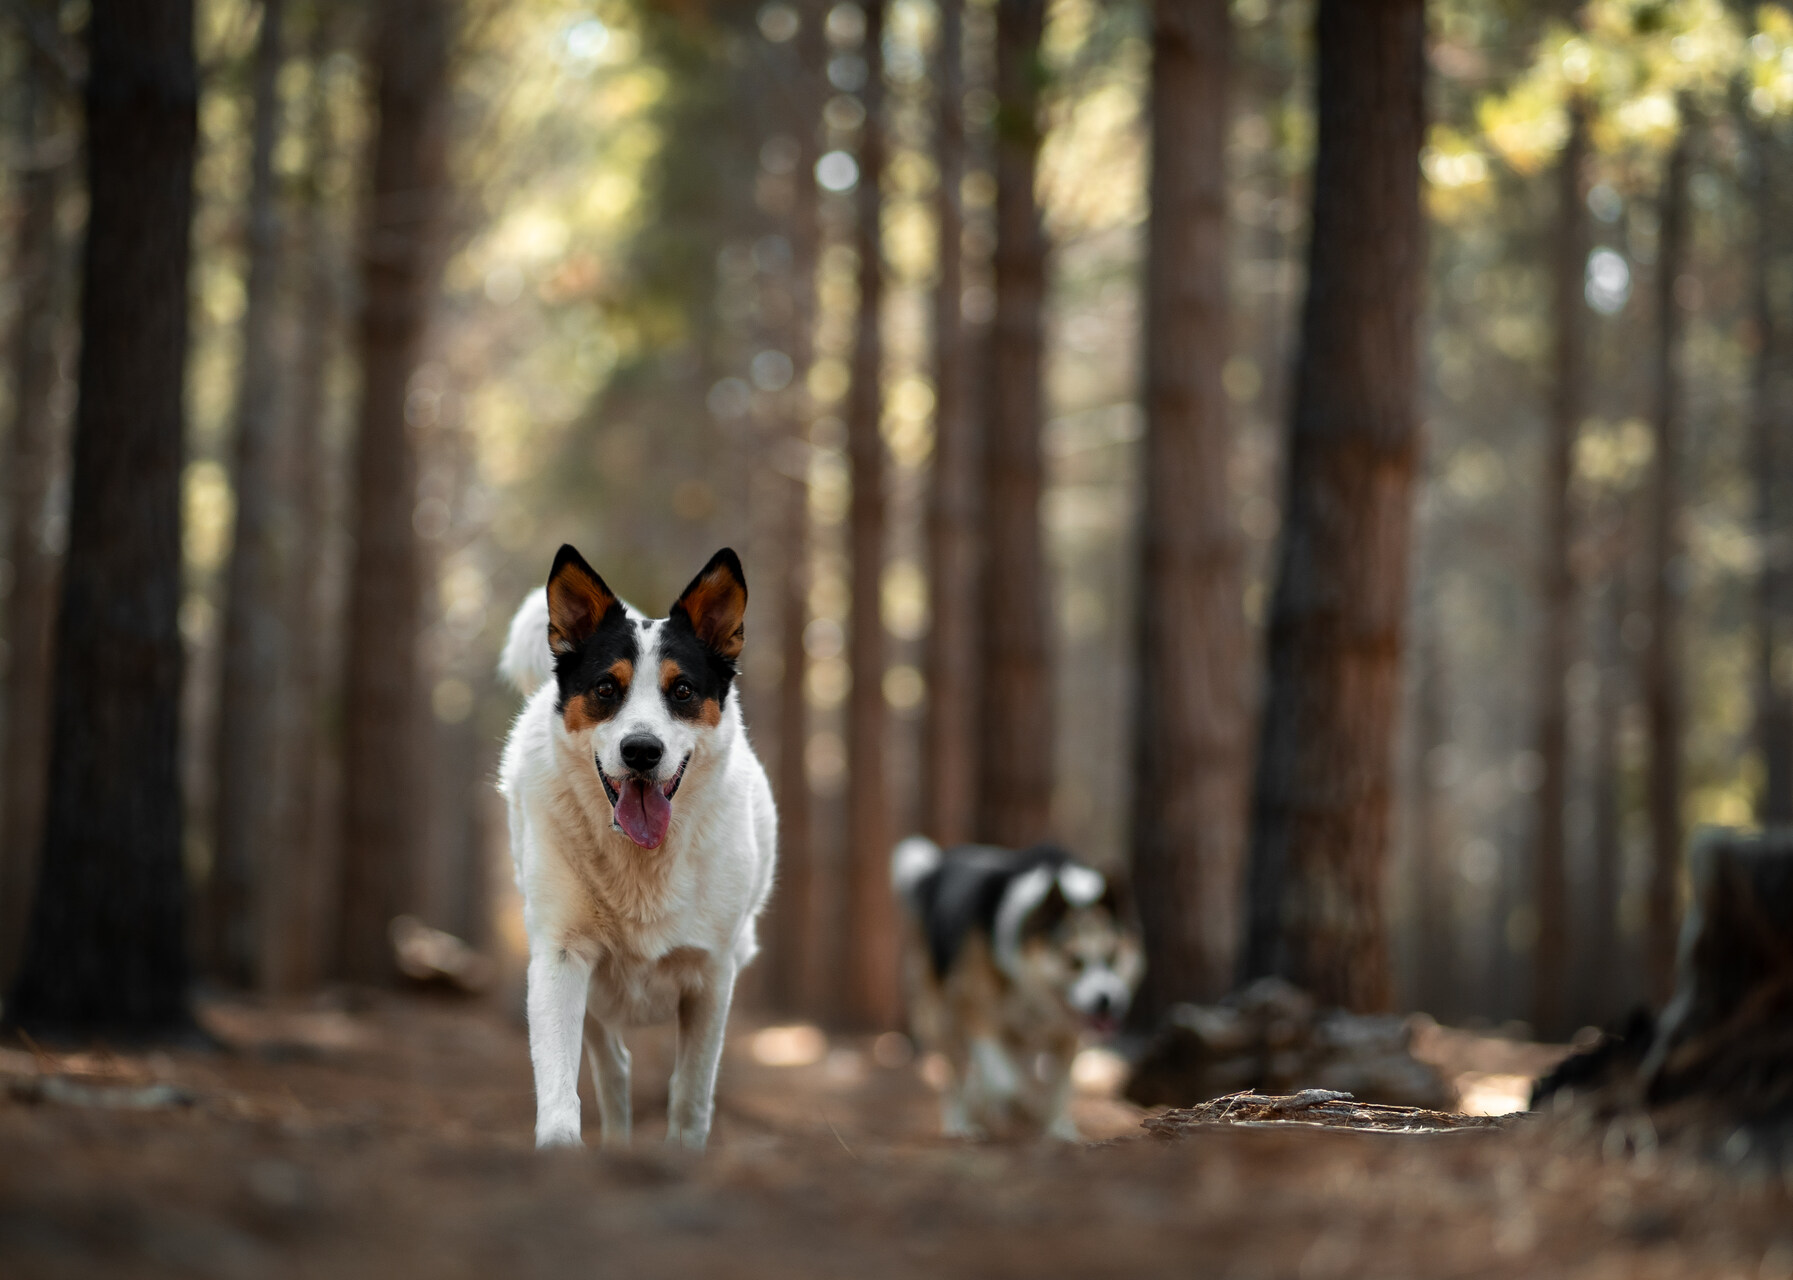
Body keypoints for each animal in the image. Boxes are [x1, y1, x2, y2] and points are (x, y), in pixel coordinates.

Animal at [494, 541, 774, 1147]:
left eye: (683, 691)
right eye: (606, 688)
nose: (641, 750)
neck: (642, 861)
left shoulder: (712, 976)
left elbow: (690, 1099)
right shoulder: (561, 956)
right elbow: (560, 1096)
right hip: (595, 990)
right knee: (614, 1068)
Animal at [889, 838, 1140, 1140]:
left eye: (1113, 956)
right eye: (1073, 960)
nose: (1107, 1000)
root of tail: (934, 869)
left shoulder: (1066, 1033)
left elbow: (1059, 1087)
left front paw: (1059, 1131)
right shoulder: (972, 1006)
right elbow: (1003, 1081)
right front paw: (1009, 1105)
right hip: (939, 1020)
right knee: (956, 1077)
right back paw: (961, 1124)